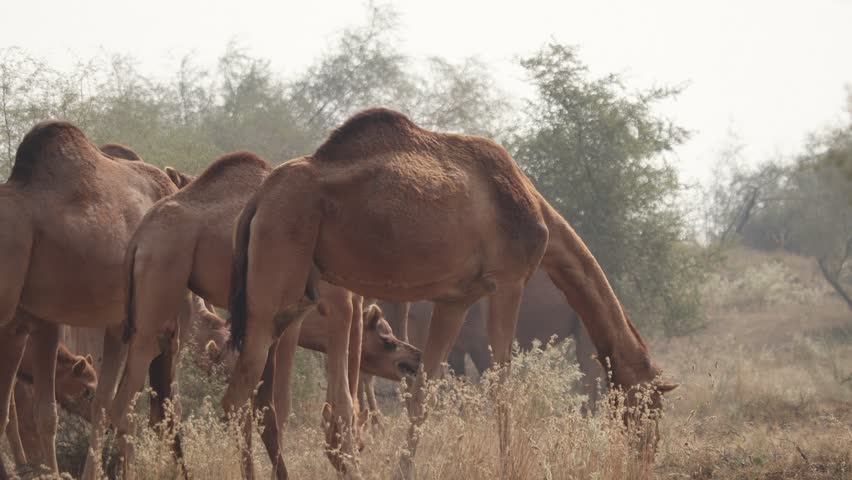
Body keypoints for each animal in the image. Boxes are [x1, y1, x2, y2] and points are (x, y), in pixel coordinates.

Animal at [108, 151, 420, 479]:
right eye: (388, 341)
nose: (416, 358)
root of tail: (139, 238)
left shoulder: (283, 320)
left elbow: (266, 407)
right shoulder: (325, 310)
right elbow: (308, 404)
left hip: (169, 304)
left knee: (157, 407)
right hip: (161, 282)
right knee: (127, 403)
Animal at [225, 108, 677, 478]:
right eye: (650, 407)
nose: (646, 456)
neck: (535, 209)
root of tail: (259, 199)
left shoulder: (455, 298)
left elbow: (424, 388)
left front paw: (403, 470)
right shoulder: (508, 279)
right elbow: (501, 386)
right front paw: (508, 468)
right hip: (275, 279)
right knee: (238, 394)